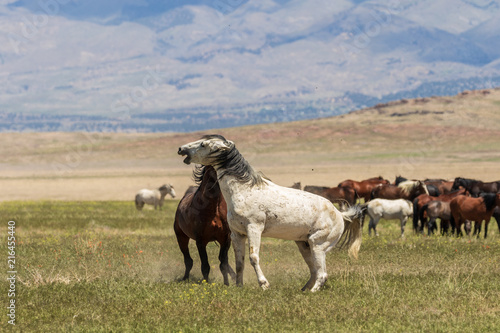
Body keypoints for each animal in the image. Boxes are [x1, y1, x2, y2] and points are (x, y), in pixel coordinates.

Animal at [179, 134, 364, 292]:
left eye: (204, 144)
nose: (181, 149)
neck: (244, 190)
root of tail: (341, 215)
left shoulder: (254, 229)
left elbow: (253, 257)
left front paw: (264, 284)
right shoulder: (237, 234)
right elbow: (239, 262)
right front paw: (239, 286)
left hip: (318, 245)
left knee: (322, 274)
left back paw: (311, 292)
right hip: (304, 245)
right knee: (314, 271)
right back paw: (303, 290)